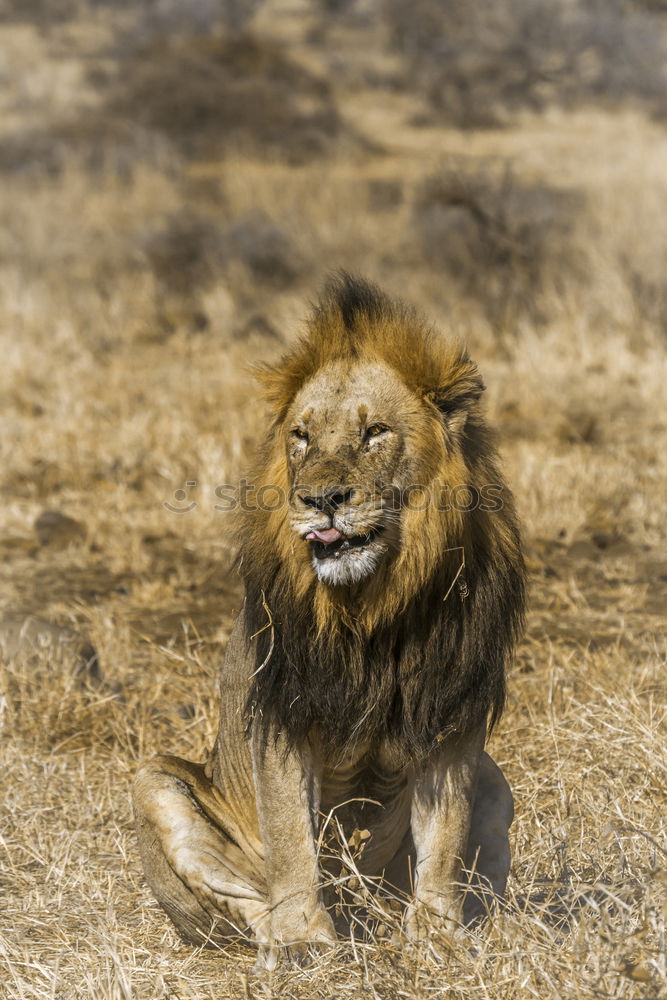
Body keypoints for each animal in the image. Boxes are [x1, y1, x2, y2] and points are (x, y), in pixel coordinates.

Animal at [132, 274, 528, 968]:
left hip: (495, 780)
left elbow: (445, 841)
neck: (373, 605)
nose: (320, 499)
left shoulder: (452, 719)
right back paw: (287, 939)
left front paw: (440, 938)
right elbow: (291, 838)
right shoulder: (281, 713)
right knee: (245, 904)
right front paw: (301, 942)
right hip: (153, 780)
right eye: (301, 436)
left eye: (375, 432)